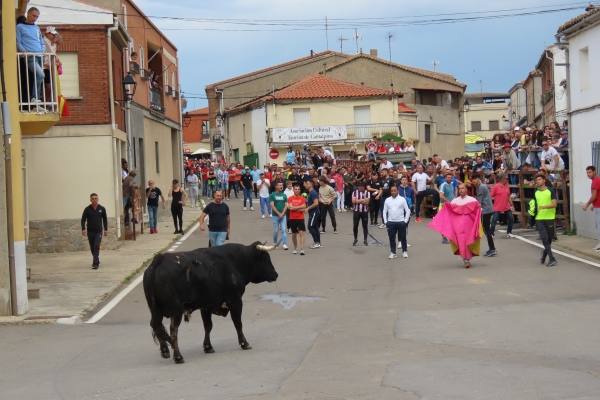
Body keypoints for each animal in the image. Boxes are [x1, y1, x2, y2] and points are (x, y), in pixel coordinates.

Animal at [144, 241, 278, 362]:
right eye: (265, 259)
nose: (276, 274)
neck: (235, 262)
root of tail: (159, 260)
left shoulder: (206, 305)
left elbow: (208, 326)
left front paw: (208, 347)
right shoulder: (235, 300)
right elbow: (238, 323)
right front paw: (244, 343)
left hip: (155, 310)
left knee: (156, 325)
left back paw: (165, 351)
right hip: (176, 311)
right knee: (172, 330)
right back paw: (178, 356)